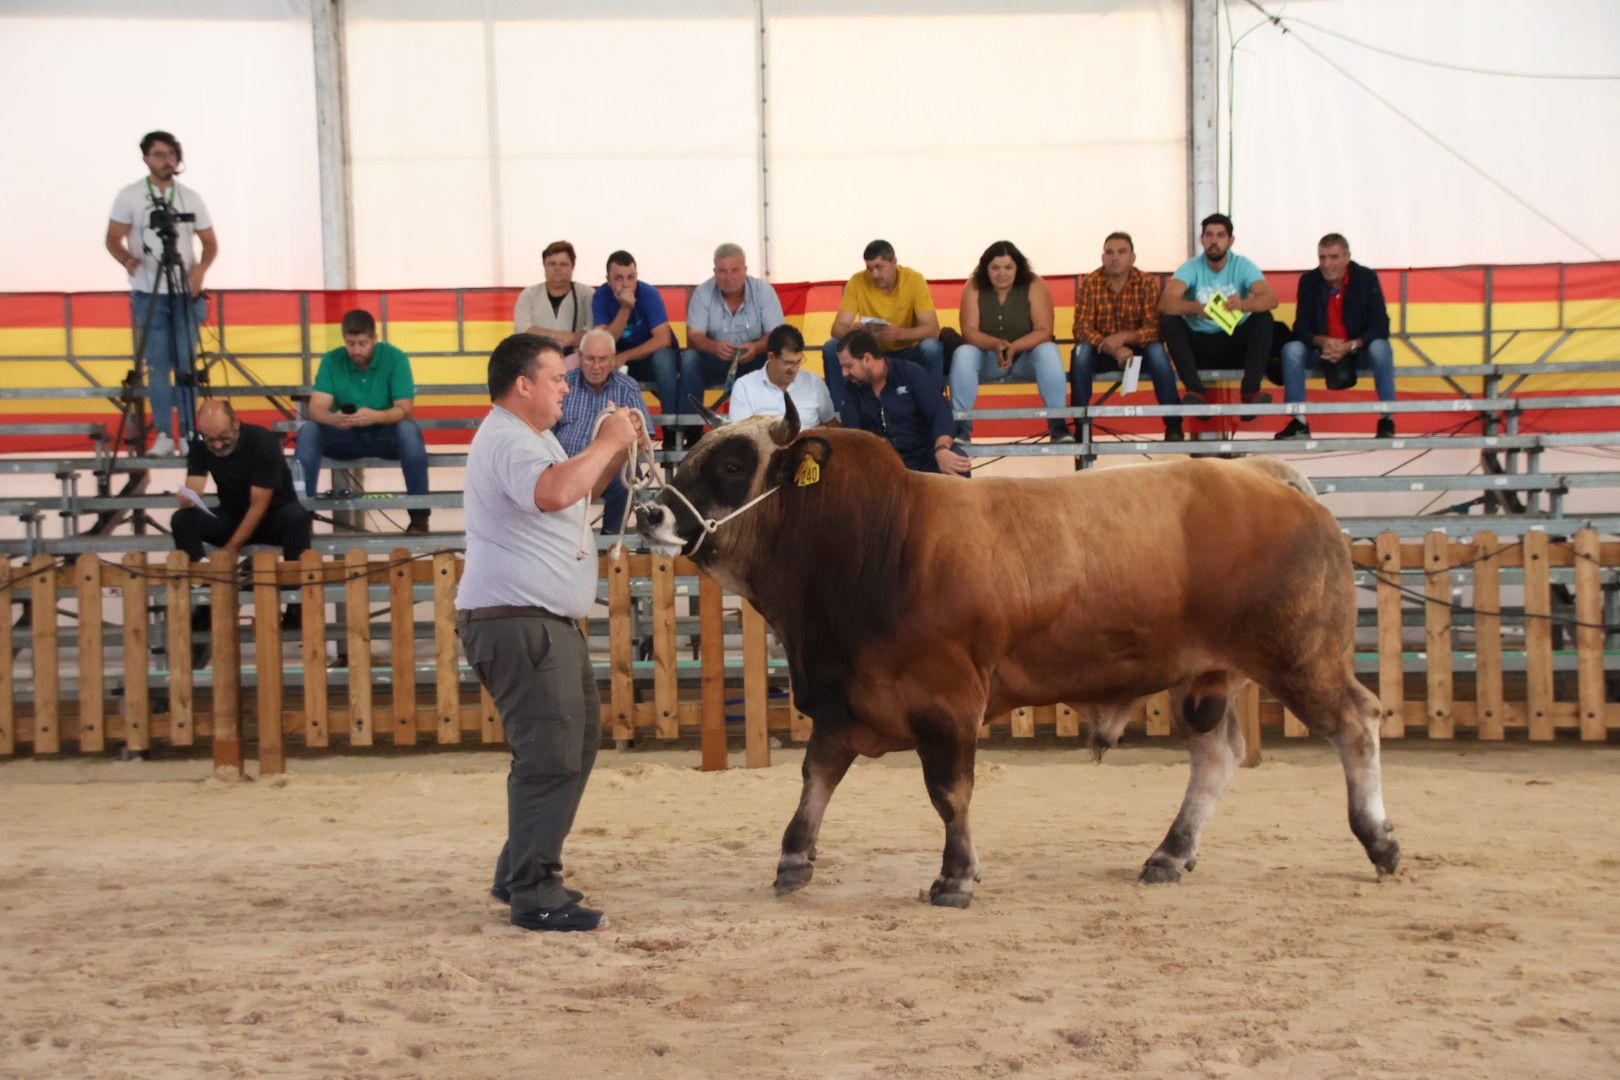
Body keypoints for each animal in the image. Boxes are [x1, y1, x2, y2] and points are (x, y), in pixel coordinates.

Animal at [638, 396, 1399, 906]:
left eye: (732, 463)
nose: (648, 511)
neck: (878, 538)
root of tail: (1265, 474)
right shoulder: (844, 698)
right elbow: (816, 777)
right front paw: (794, 859)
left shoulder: (945, 701)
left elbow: (949, 793)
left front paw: (955, 874)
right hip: (1208, 676)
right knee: (1217, 756)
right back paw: (1169, 853)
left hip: (1300, 657)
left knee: (1356, 722)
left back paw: (1379, 838)